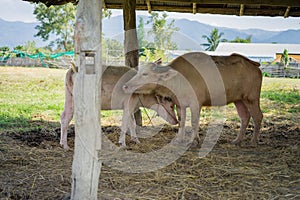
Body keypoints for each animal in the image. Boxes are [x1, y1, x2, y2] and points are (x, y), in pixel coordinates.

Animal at [122, 51, 262, 145]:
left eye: (145, 74)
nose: (126, 86)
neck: (178, 80)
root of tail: (255, 66)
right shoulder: (180, 104)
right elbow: (182, 121)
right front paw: (180, 139)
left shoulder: (195, 104)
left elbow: (194, 122)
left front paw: (193, 141)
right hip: (239, 100)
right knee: (245, 117)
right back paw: (237, 140)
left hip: (252, 98)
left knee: (257, 116)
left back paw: (253, 141)